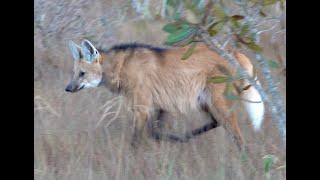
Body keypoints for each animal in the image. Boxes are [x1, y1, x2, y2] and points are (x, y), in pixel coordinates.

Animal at [65, 39, 264, 152]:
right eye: (74, 73)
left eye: (82, 73)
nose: (68, 88)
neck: (120, 68)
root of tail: (233, 52)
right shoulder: (159, 106)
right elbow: (155, 133)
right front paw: (172, 141)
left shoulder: (142, 108)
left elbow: (137, 140)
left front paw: (133, 162)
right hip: (204, 101)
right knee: (216, 122)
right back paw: (186, 137)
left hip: (217, 102)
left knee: (237, 136)